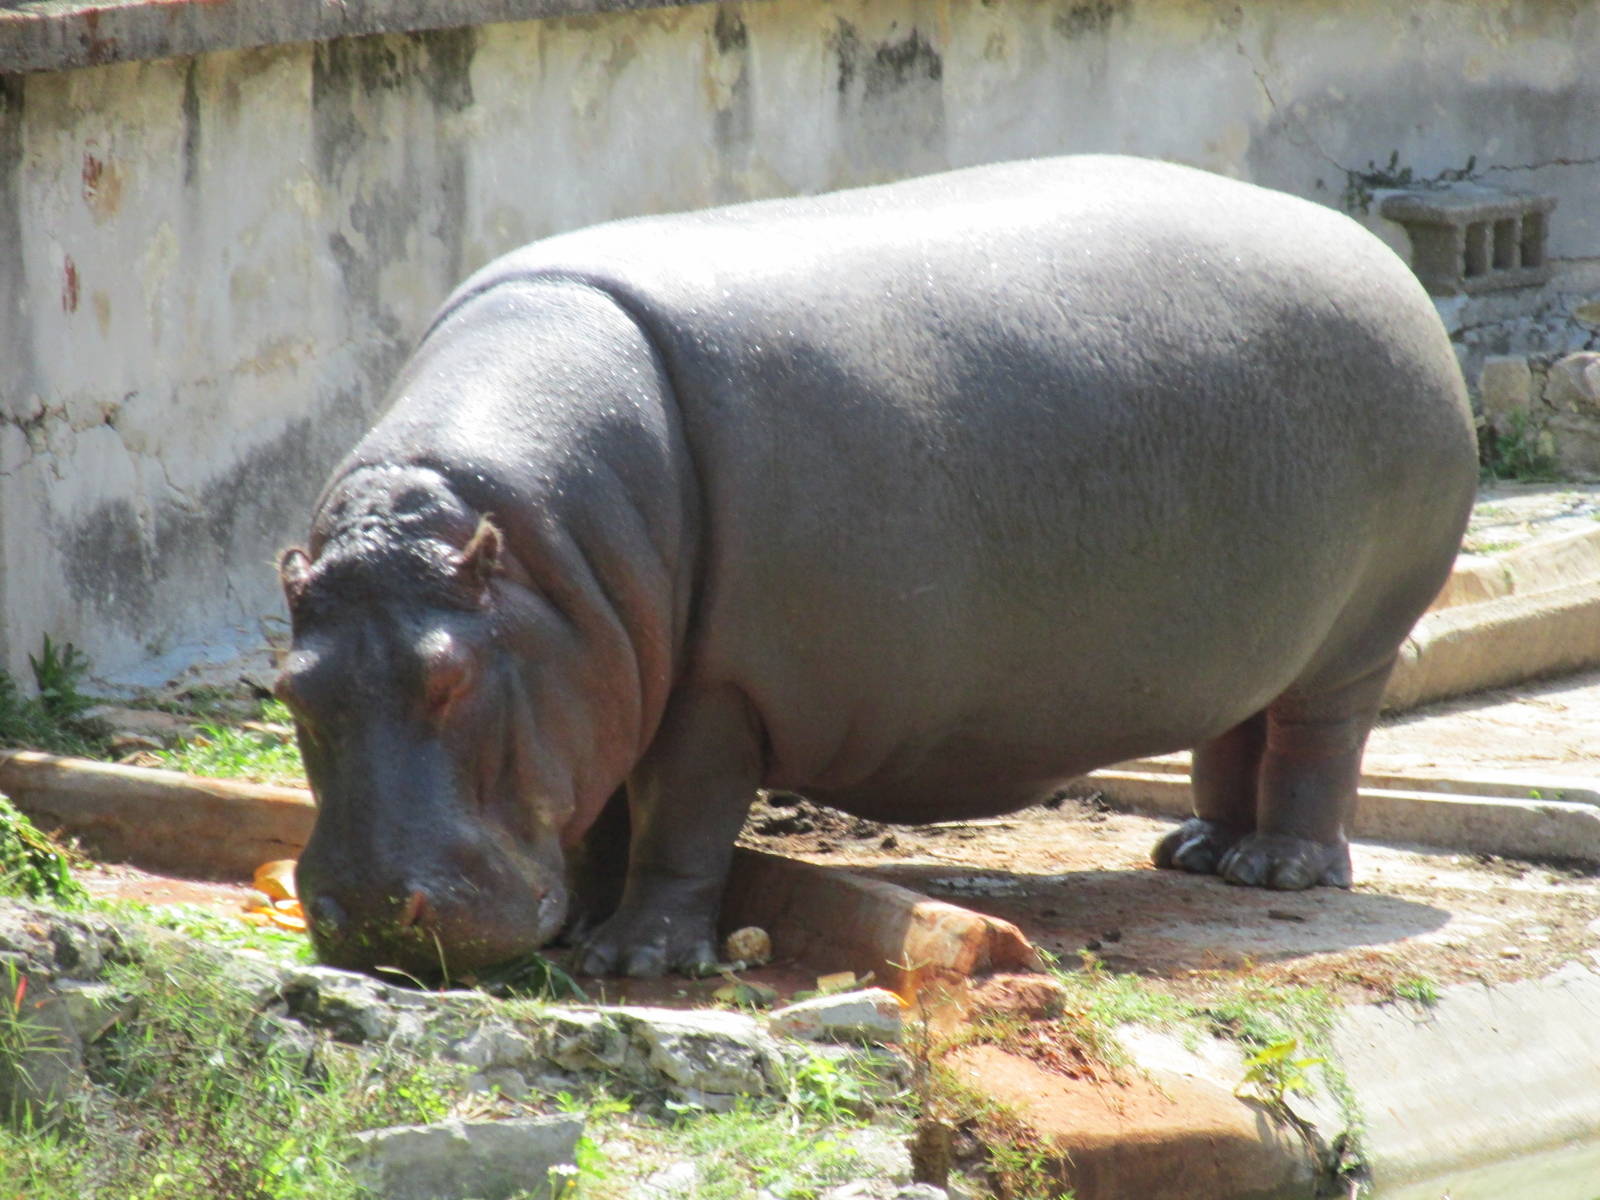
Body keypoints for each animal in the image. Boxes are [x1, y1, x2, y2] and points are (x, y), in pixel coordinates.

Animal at [276, 155, 1477, 979]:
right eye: (291, 687)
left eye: (451, 677)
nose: (370, 918)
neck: (534, 562)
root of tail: (1381, 259)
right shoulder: (604, 671)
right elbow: (606, 806)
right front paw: (581, 919)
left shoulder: (712, 688)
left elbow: (677, 819)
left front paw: (638, 958)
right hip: (1263, 629)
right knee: (1237, 724)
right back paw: (1196, 853)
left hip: (1360, 633)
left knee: (1318, 741)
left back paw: (1277, 871)